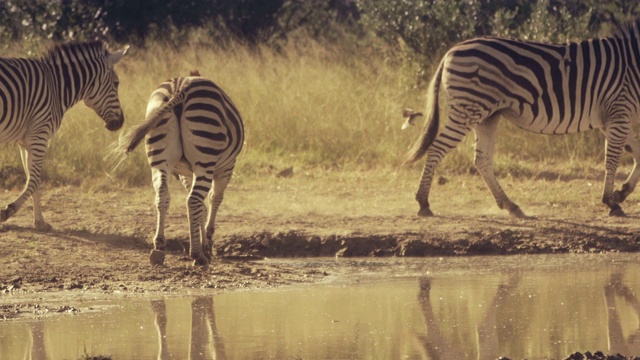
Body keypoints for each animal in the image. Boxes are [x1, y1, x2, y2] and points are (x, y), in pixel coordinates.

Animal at [0, 40, 129, 229]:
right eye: (116, 83)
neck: (57, 86)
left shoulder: (25, 141)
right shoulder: (40, 134)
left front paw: (40, 222)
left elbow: (34, 181)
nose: (120, 122)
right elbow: (35, 180)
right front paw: (7, 211)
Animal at [115, 71, 245, 266]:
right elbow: (214, 199)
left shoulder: (185, 174)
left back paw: (159, 247)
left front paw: (205, 243)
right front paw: (208, 241)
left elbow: (203, 208)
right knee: (193, 200)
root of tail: (180, 88)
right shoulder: (227, 168)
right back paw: (197, 255)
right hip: (205, 155)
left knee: (162, 194)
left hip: (159, 157)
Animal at [404, 18, 640, 218]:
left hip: (486, 116)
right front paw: (611, 202)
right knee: (436, 149)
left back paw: (510, 205)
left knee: (482, 160)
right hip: (468, 109)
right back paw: (423, 202)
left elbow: (637, 152)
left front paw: (621, 193)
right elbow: (613, 160)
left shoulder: (614, 118)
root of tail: (450, 52)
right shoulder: (618, 111)